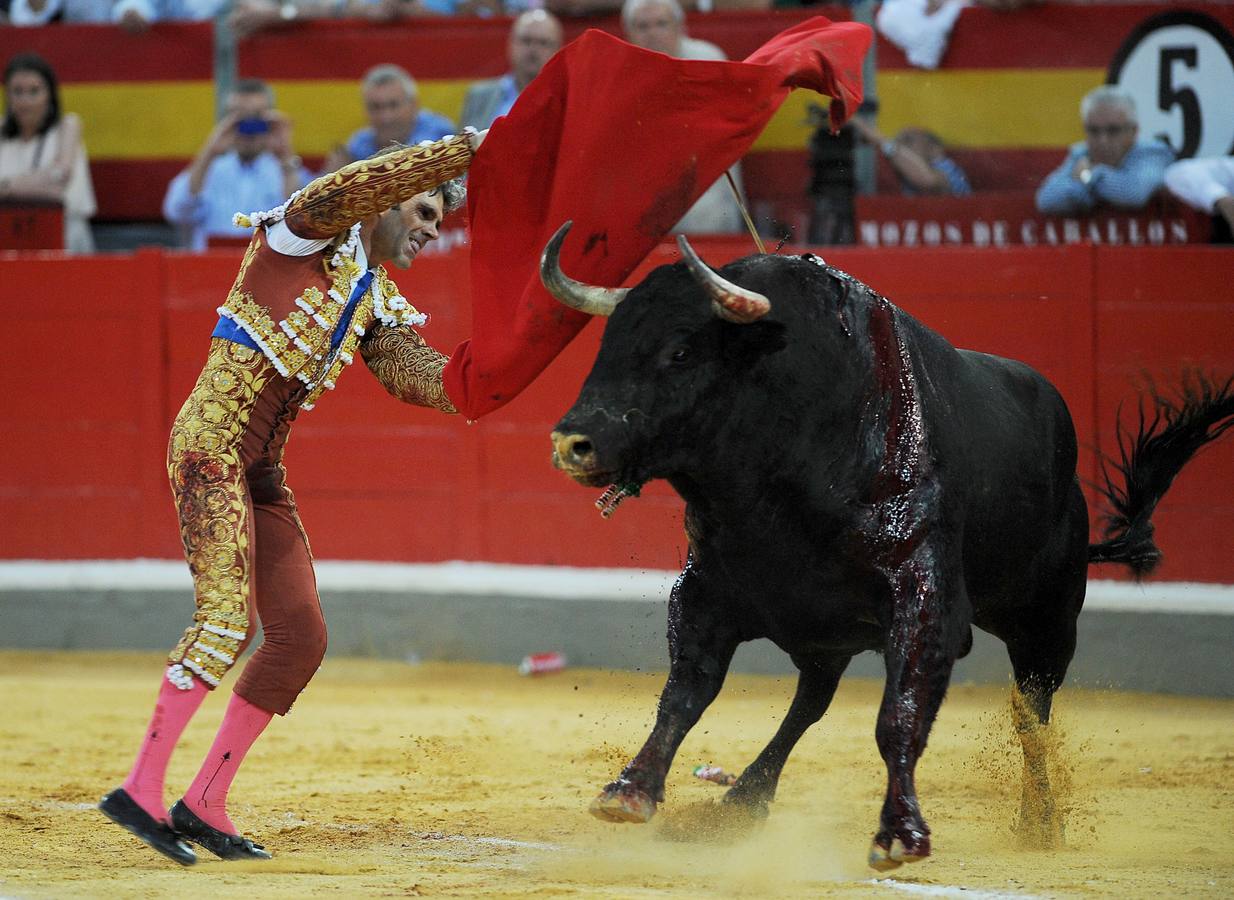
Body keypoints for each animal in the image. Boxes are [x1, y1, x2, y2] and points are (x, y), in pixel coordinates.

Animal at [540, 224, 1234, 869]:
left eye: (681, 351)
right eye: (606, 345)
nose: (572, 441)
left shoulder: (925, 600)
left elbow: (899, 713)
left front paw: (900, 834)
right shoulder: (708, 593)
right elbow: (686, 693)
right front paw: (629, 790)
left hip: (1047, 622)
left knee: (1032, 714)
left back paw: (1040, 826)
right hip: (831, 633)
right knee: (811, 704)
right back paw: (741, 802)